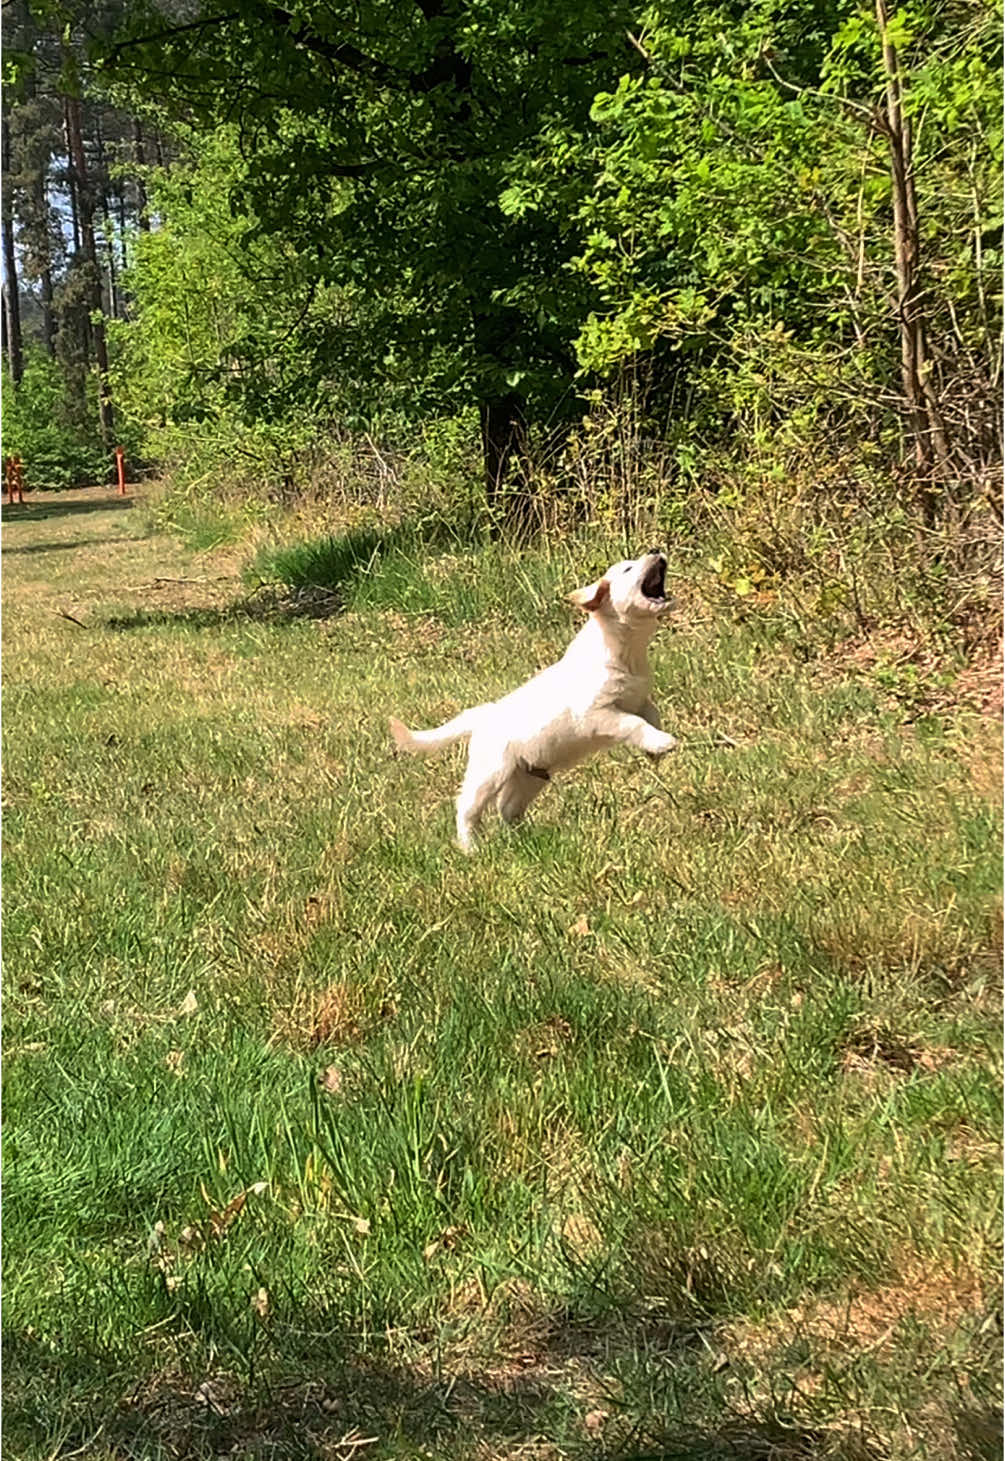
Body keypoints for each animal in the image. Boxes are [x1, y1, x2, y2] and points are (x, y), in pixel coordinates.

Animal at [388, 549, 677, 853]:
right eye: (628, 569)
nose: (656, 550)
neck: (626, 651)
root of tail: (484, 715)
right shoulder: (597, 713)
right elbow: (634, 723)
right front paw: (663, 743)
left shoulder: (639, 698)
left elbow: (652, 716)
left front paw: (655, 749)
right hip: (490, 770)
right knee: (467, 808)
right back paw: (470, 848)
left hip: (527, 776)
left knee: (507, 808)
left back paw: (522, 839)